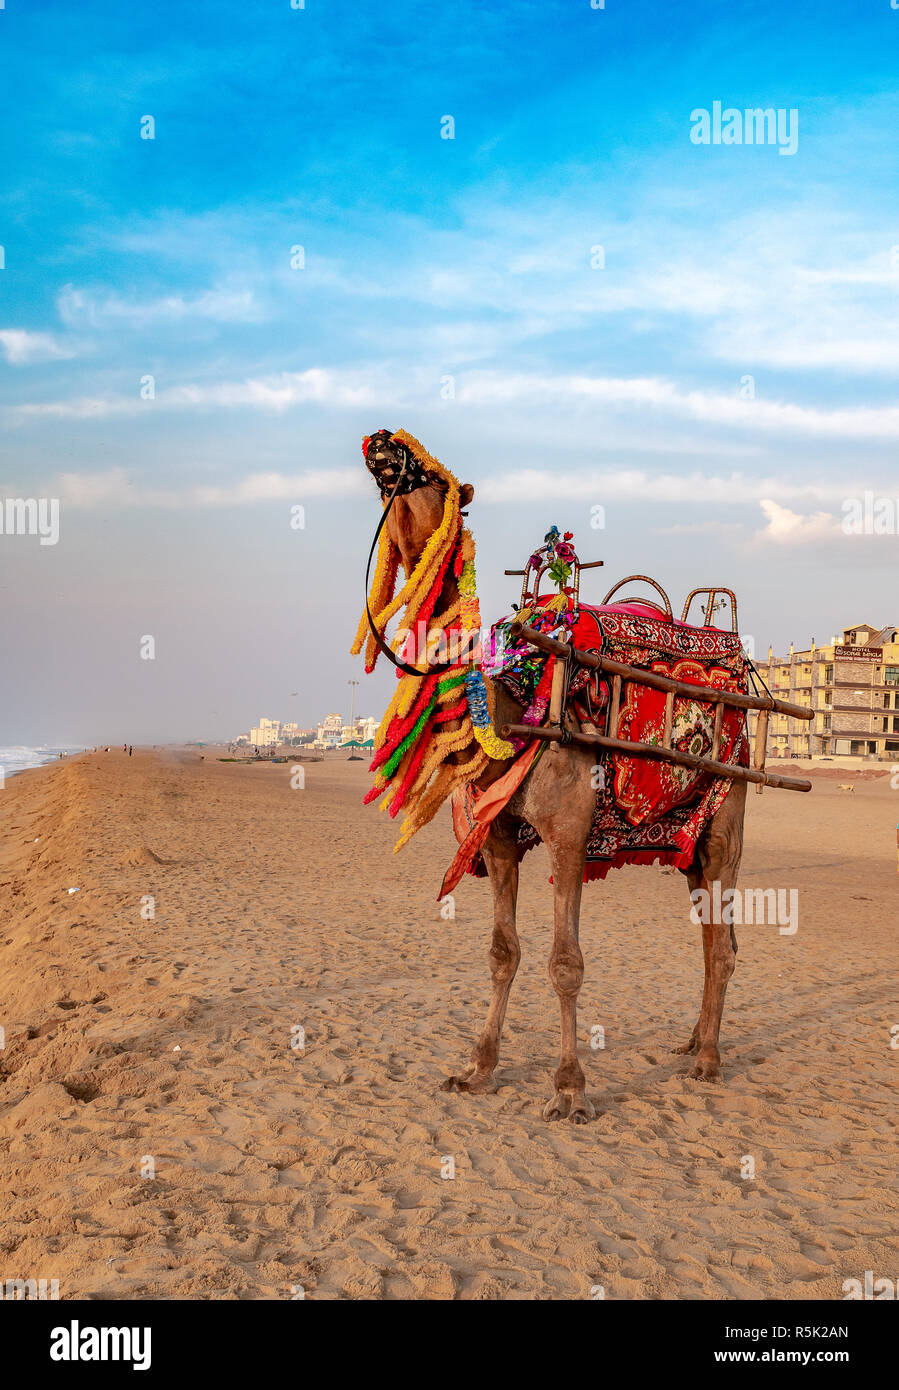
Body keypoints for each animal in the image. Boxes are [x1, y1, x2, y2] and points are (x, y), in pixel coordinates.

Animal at [352, 428, 817, 1123]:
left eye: (435, 477)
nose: (381, 442)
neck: (514, 706)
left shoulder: (570, 834)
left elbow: (564, 962)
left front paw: (569, 1089)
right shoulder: (498, 836)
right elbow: (503, 952)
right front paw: (478, 1069)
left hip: (726, 813)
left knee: (723, 943)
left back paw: (708, 1060)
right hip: (685, 844)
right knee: (714, 932)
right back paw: (692, 1041)